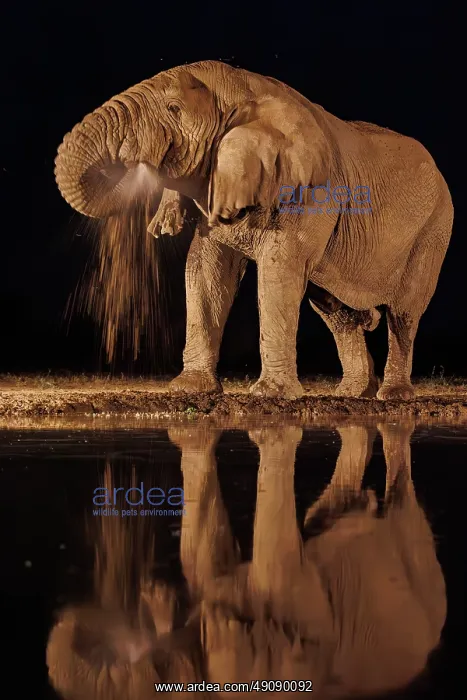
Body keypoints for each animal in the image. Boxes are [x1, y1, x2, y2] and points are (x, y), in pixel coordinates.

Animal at [54, 60, 454, 399]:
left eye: (173, 109)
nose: (130, 163)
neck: (243, 88)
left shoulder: (307, 190)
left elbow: (278, 272)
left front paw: (270, 395)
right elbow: (205, 269)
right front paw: (189, 389)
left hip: (434, 229)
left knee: (403, 314)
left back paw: (392, 395)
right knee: (335, 312)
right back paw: (352, 394)